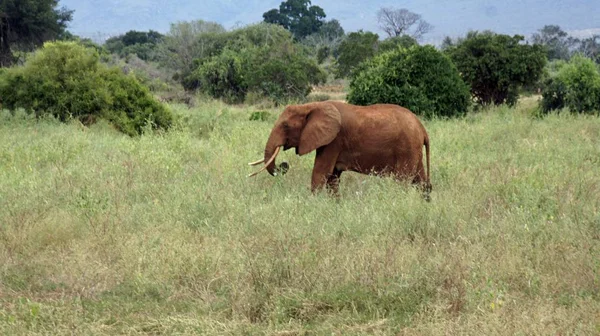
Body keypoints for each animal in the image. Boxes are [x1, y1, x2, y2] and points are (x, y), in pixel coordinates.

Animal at [248, 101, 432, 198]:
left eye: (286, 126)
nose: (283, 165)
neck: (311, 106)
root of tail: (422, 128)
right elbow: (332, 178)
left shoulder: (333, 141)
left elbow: (320, 173)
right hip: (413, 148)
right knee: (420, 180)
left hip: (406, 147)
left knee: (403, 180)